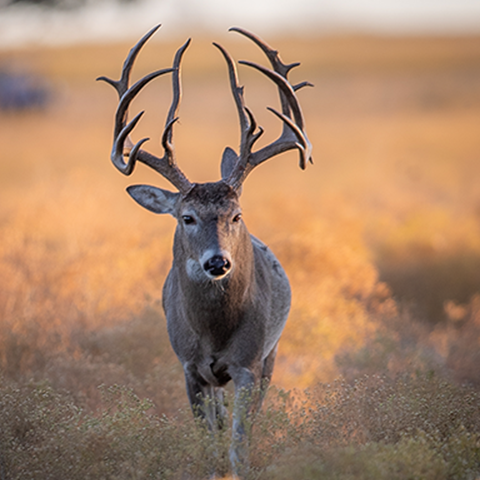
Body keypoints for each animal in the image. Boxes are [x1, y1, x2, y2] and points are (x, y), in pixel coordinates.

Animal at [98, 25, 312, 476]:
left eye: (236, 214)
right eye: (187, 217)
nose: (218, 262)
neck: (213, 331)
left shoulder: (249, 362)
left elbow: (238, 444)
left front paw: (238, 468)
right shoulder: (189, 367)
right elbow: (208, 445)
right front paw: (213, 469)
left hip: (271, 354)